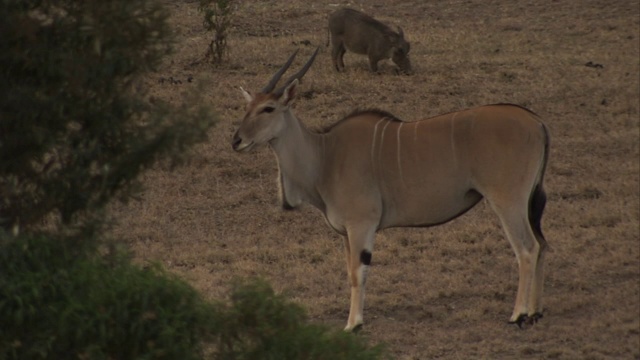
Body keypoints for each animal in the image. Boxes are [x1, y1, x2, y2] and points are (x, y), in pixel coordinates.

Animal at [230, 48, 552, 332]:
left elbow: (358, 273)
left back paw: (518, 315)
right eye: (247, 108)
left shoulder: (362, 224)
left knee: (527, 248)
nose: (236, 140)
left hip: (507, 201)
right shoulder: (347, 233)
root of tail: (536, 122)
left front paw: (353, 325)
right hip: (526, 203)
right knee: (542, 245)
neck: (325, 155)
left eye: (268, 108)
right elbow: (350, 271)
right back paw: (536, 312)